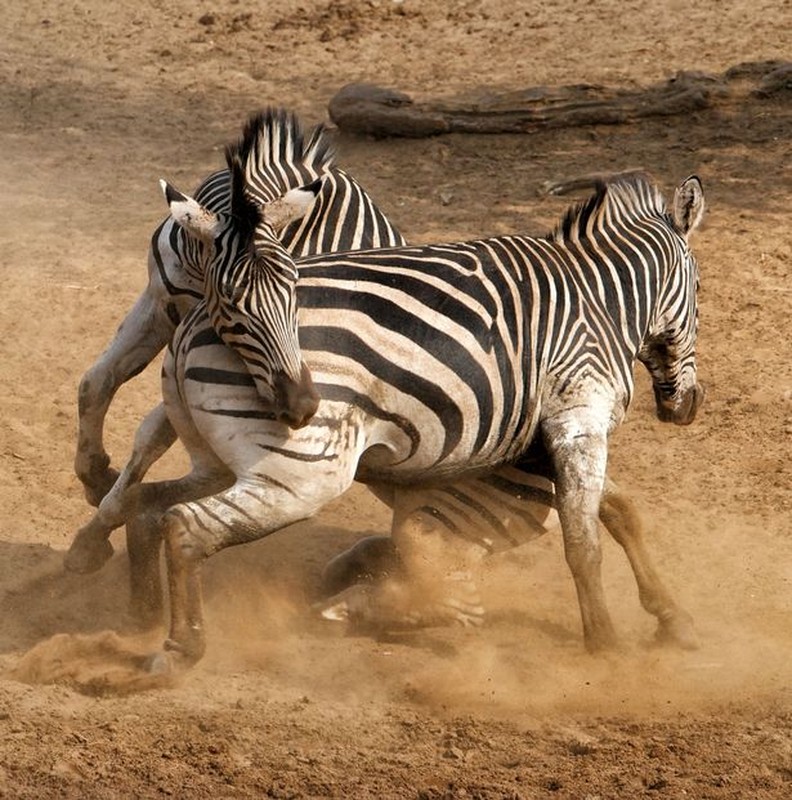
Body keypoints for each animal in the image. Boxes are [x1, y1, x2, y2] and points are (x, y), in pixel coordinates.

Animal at [69, 109, 704, 668]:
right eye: (699, 292)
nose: (687, 407)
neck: (598, 298)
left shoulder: (547, 433)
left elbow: (615, 510)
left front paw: (670, 616)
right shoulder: (575, 417)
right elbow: (583, 534)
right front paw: (607, 642)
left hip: (208, 407)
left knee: (130, 449)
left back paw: (137, 599)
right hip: (302, 469)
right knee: (184, 512)